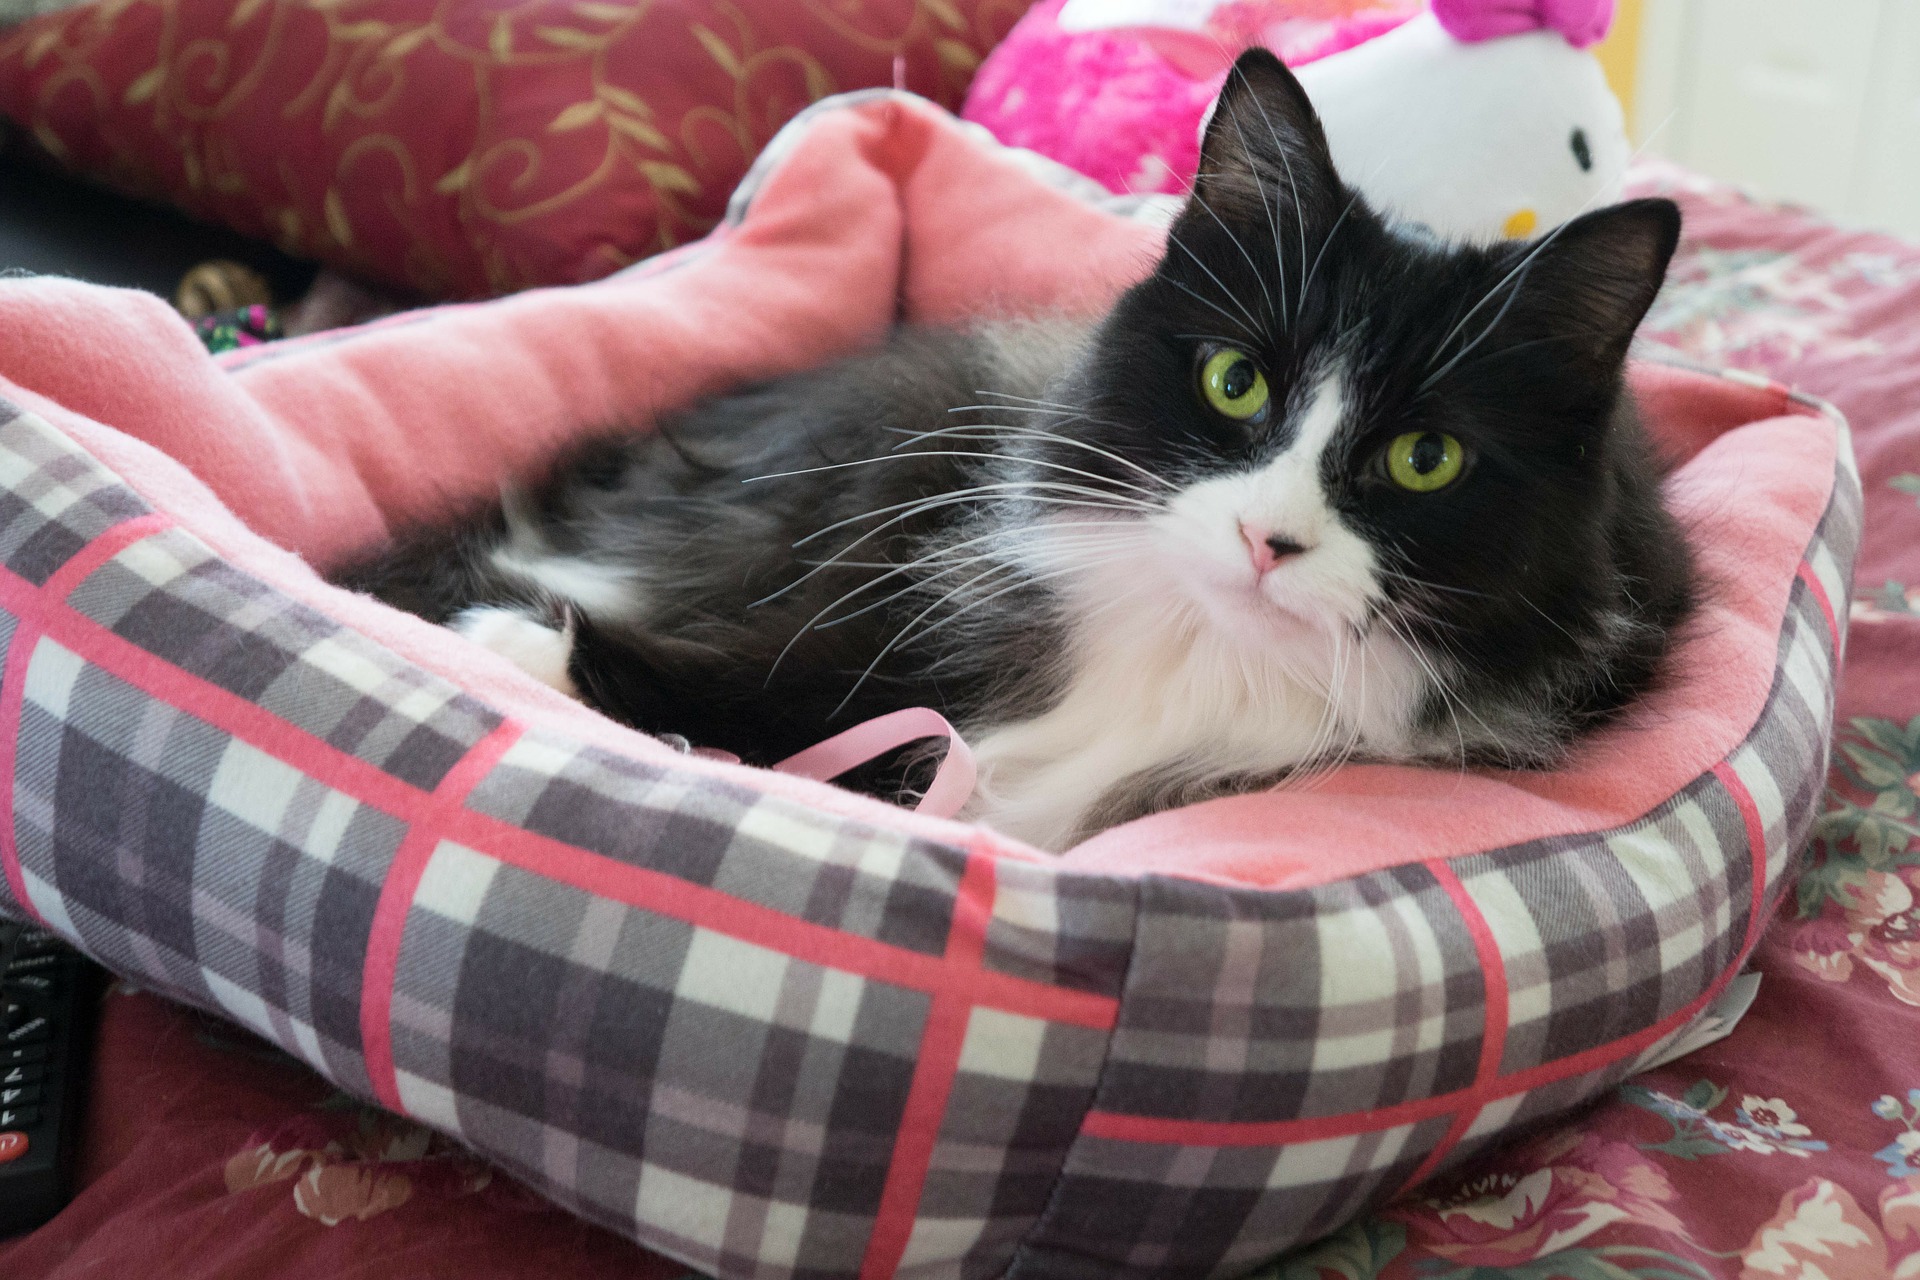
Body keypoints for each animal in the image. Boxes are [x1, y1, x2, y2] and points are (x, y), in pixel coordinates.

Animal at [341, 50, 1697, 852]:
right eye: (1236, 381)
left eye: (1425, 460)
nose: (1267, 539)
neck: (1206, 651)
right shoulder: (889, 619)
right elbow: (778, 679)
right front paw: (516, 647)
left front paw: (518, 646)